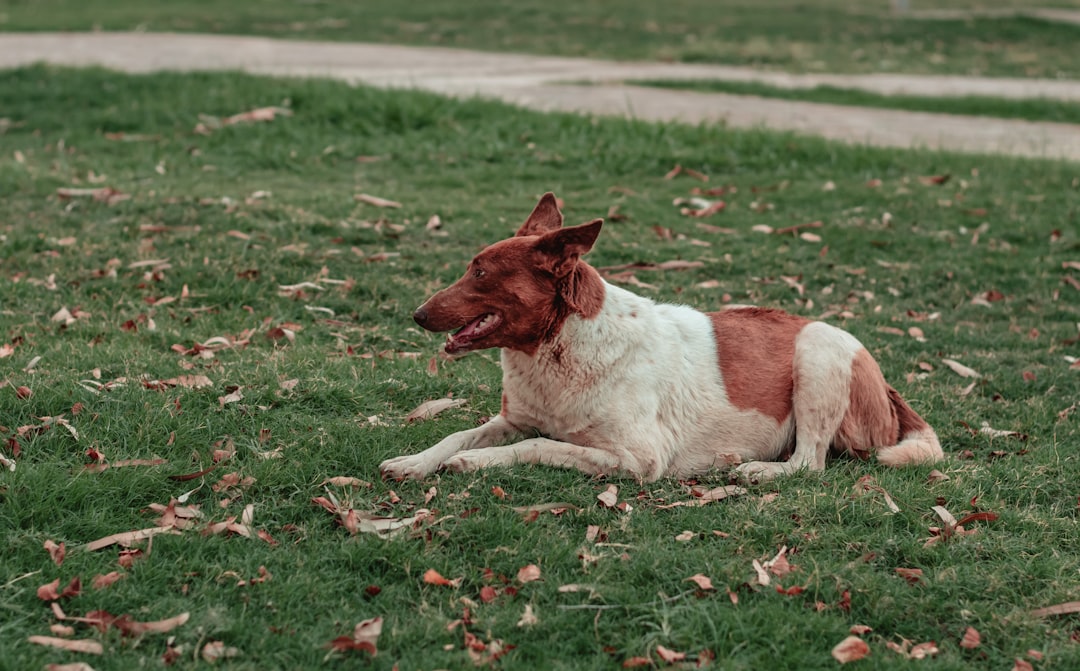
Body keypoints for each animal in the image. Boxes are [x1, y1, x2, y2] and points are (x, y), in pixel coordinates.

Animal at [378, 191, 937, 479]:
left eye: (480, 274)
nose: (417, 315)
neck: (560, 347)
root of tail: (889, 388)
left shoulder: (638, 457)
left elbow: (536, 446)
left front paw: (476, 461)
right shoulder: (513, 419)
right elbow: (457, 434)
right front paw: (415, 461)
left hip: (818, 354)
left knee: (810, 463)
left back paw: (761, 470)